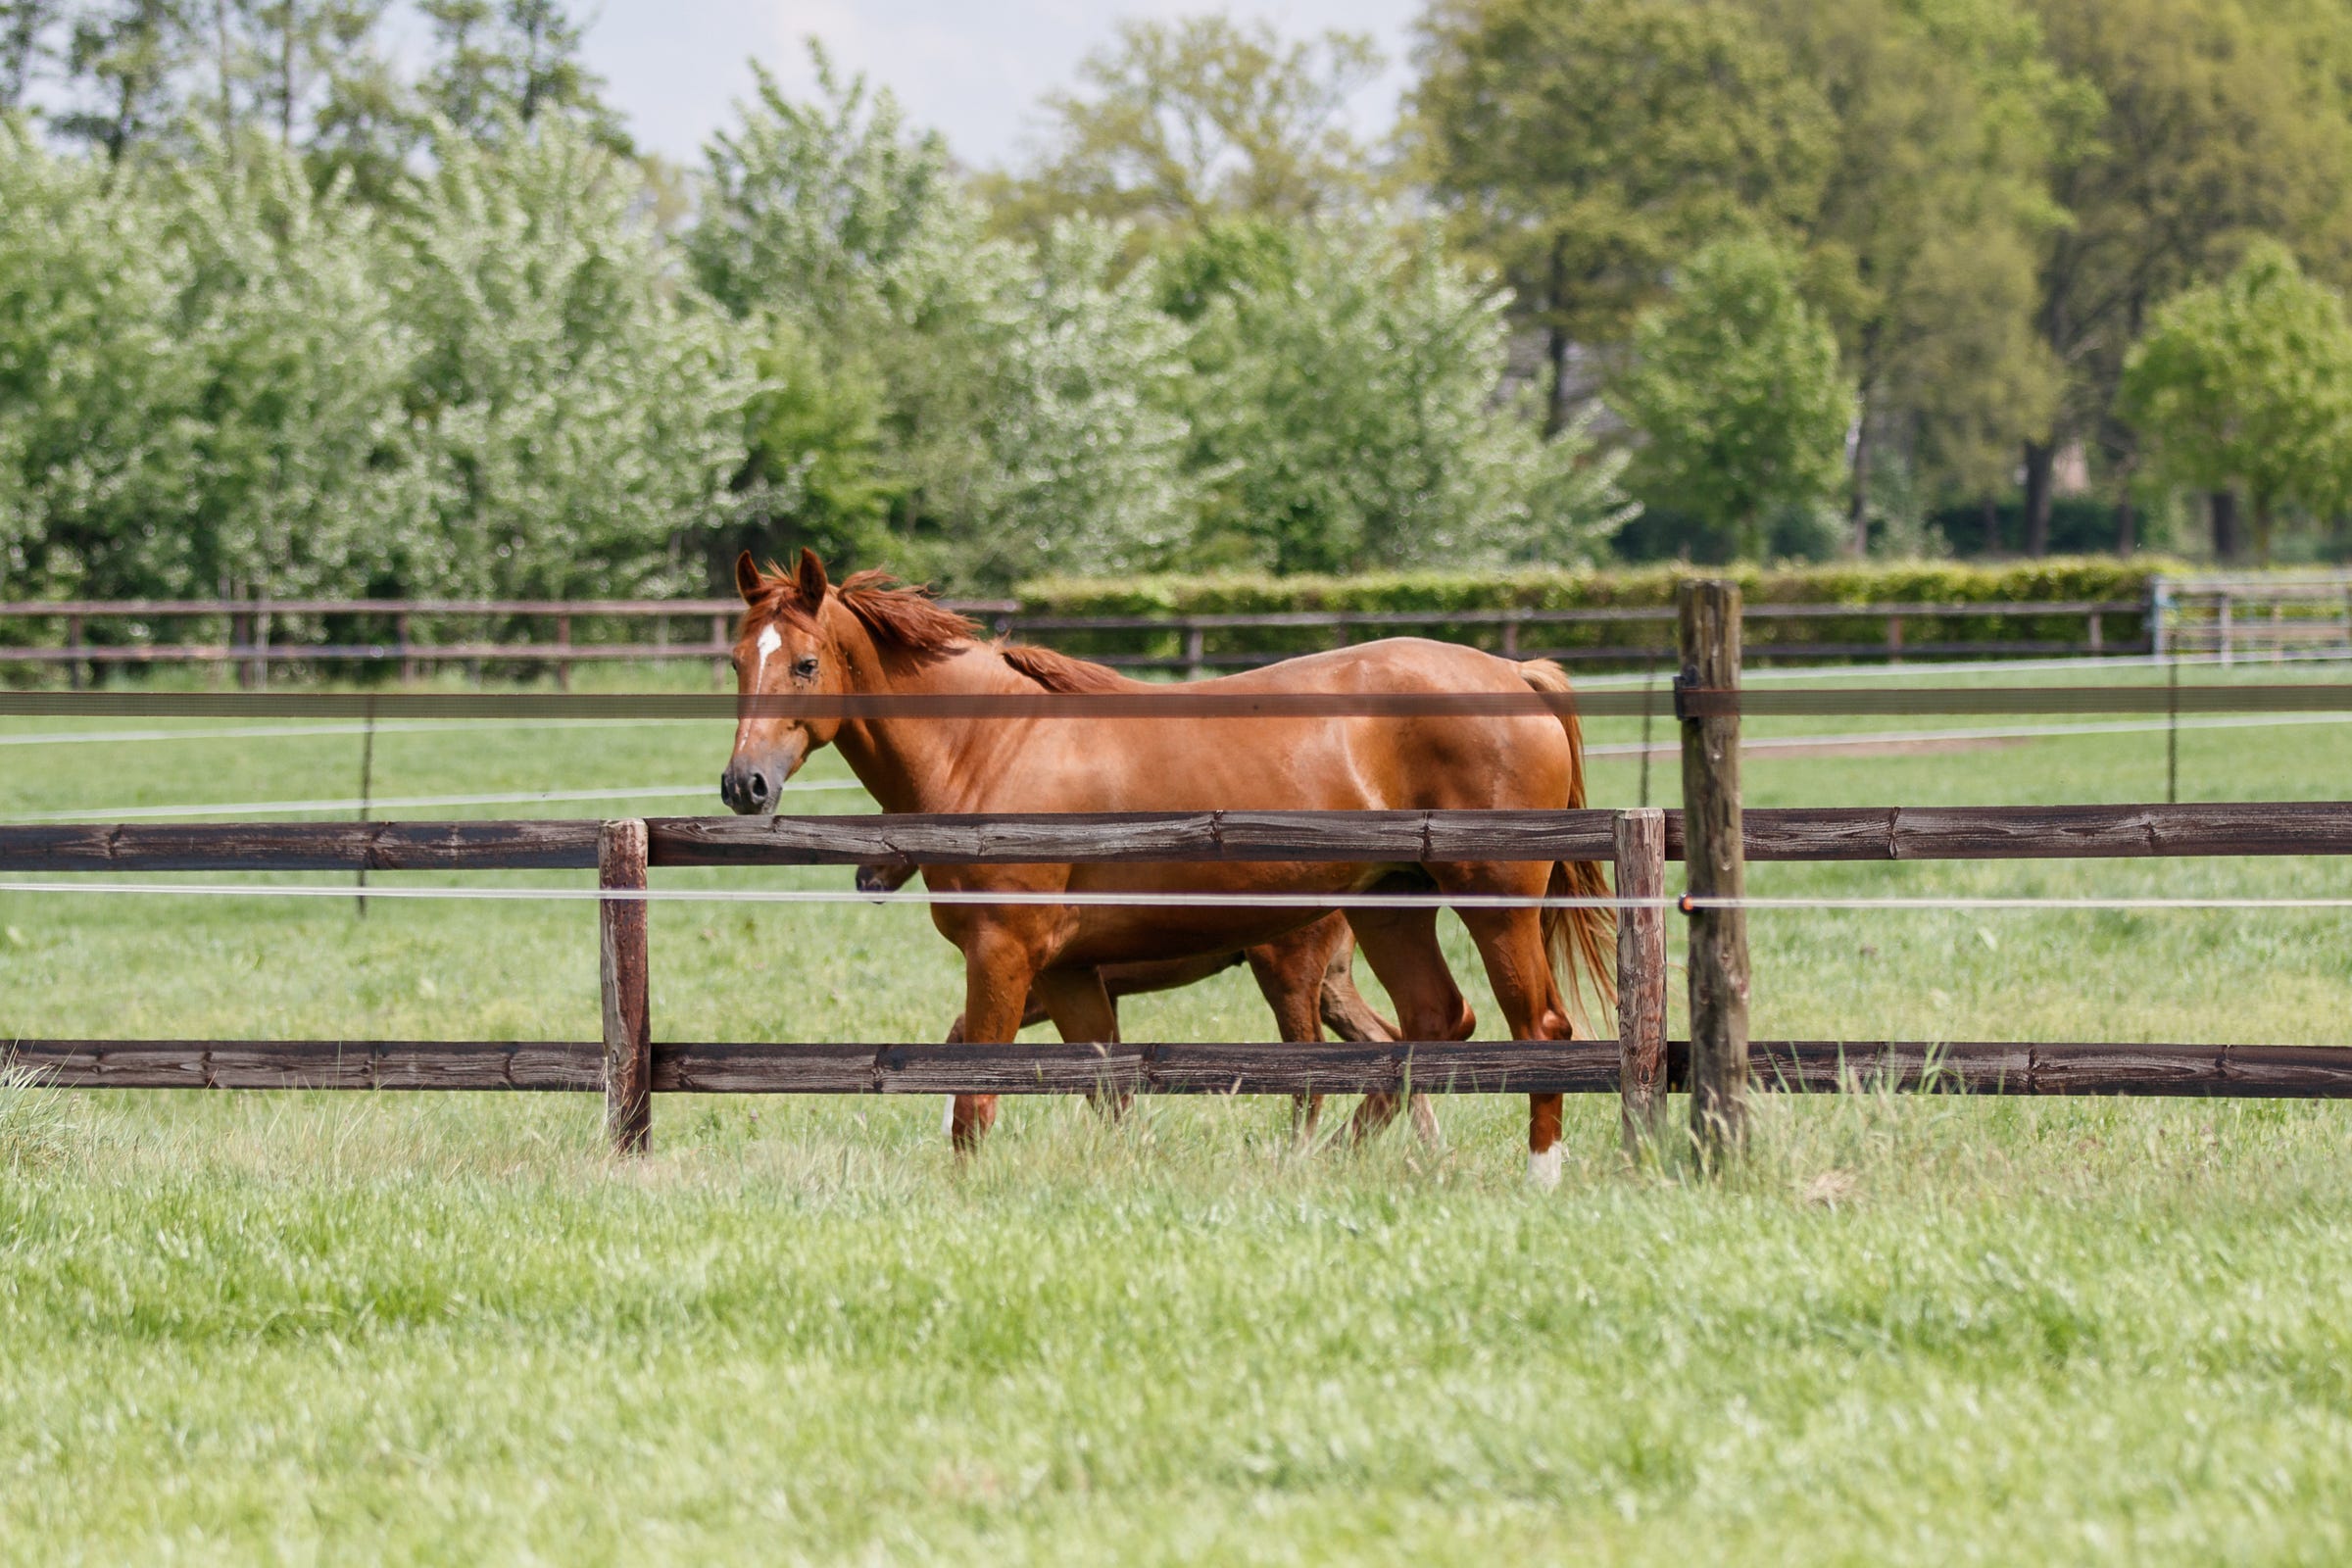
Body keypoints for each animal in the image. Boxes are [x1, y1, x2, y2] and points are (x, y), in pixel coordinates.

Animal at [859, 860, 1442, 1146]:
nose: (864, 880)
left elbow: (962, 1030)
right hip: (1331, 988)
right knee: (1391, 1040)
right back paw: (1427, 1149)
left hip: (1290, 980)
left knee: (1314, 1076)